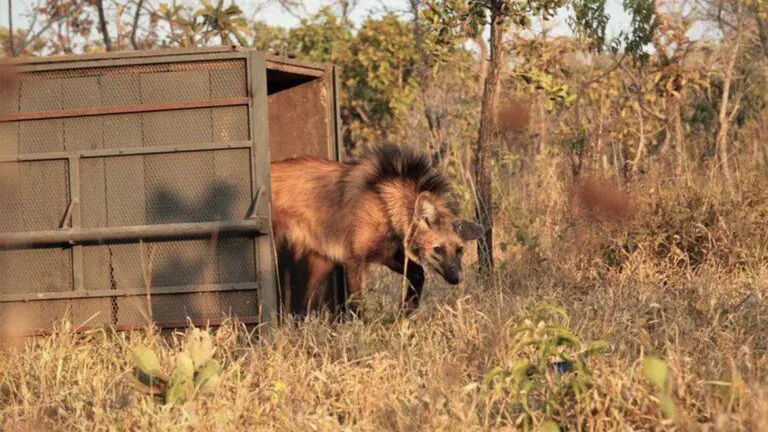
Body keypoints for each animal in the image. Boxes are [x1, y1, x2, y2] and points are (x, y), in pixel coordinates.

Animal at [270, 144, 484, 317]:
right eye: (438, 249)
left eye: (460, 250)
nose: (457, 278)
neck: (385, 205)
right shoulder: (354, 261)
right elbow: (358, 305)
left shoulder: (385, 253)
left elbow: (418, 273)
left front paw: (405, 312)